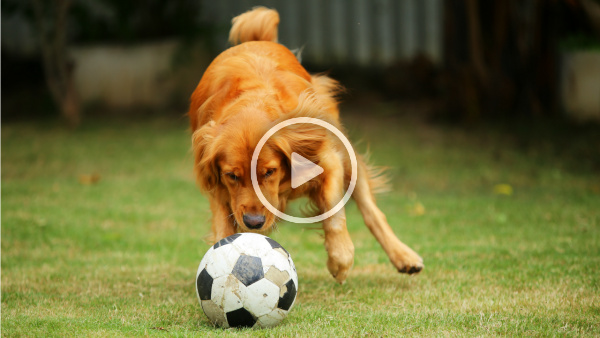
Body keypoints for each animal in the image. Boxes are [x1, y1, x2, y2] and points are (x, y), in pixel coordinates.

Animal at [190, 7, 424, 282]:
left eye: (269, 171)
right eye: (232, 176)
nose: (254, 222)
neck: (252, 100)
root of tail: (257, 40)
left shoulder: (326, 157)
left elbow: (334, 211)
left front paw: (339, 259)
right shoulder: (216, 182)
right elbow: (223, 228)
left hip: (344, 150)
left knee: (371, 210)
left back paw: (404, 256)